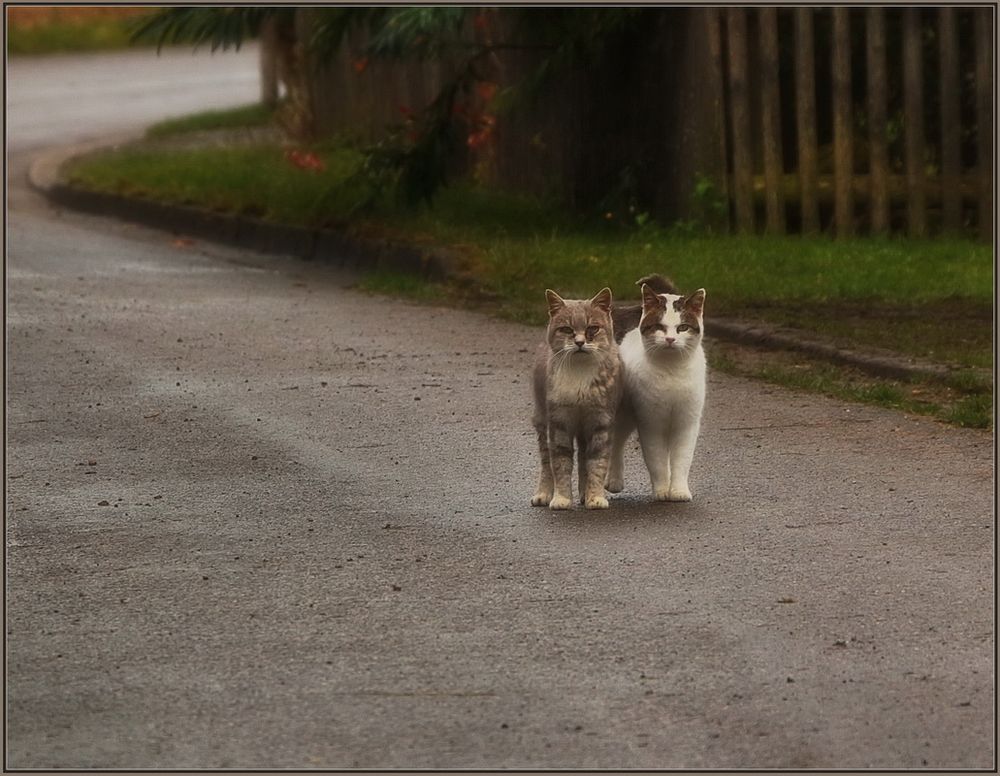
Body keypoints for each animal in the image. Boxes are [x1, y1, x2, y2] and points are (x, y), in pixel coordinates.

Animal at [532, 286, 616, 510]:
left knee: (583, 459)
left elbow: (596, 464)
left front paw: (595, 497)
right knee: (546, 462)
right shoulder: (559, 423)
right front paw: (561, 499)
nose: (579, 342)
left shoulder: (600, 423)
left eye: (592, 328)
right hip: (542, 421)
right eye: (567, 329)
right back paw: (543, 494)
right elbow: (560, 464)